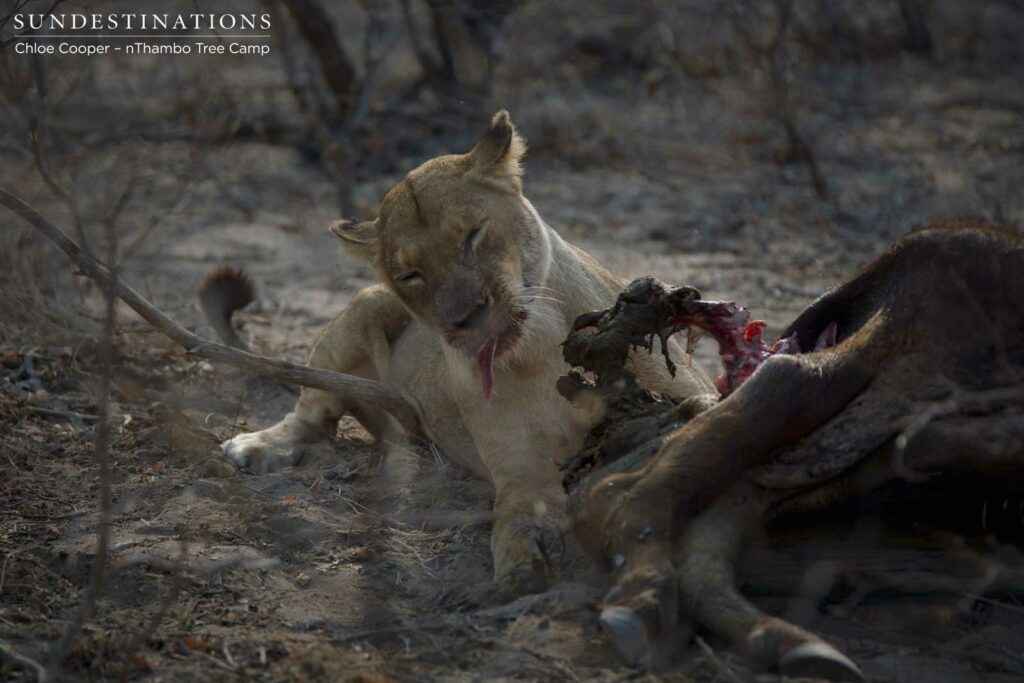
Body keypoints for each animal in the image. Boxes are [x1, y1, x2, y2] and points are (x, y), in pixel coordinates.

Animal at [203, 111, 713, 590]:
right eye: (411, 275)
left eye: (472, 235)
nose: (467, 318)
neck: (538, 350)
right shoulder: (520, 469)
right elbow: (515, 515)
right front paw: (521, 563)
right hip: (358, 311)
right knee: (309, 412)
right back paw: (255, 445)